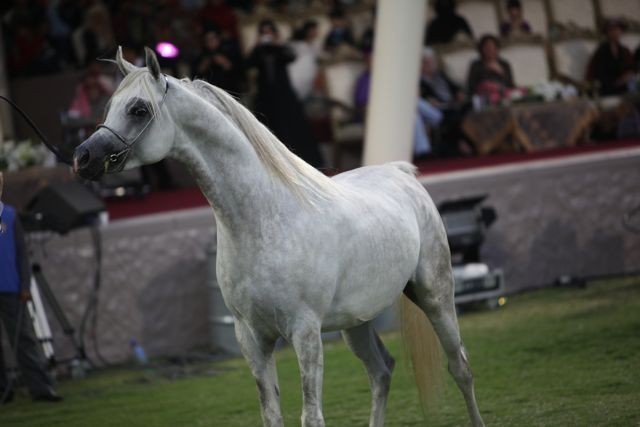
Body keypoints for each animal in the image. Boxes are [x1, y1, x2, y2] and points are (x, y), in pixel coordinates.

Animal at [73, 47, 485, 427]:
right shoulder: (252, 339)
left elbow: (311, 416)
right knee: (382, 371)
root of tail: (400, 172)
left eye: (138, 109)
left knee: (461, 367)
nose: (82, 157)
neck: (265, 220)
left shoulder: (305, 333)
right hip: (357, 322)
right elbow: (271, 414)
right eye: (111, 106)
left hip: (435, 297)